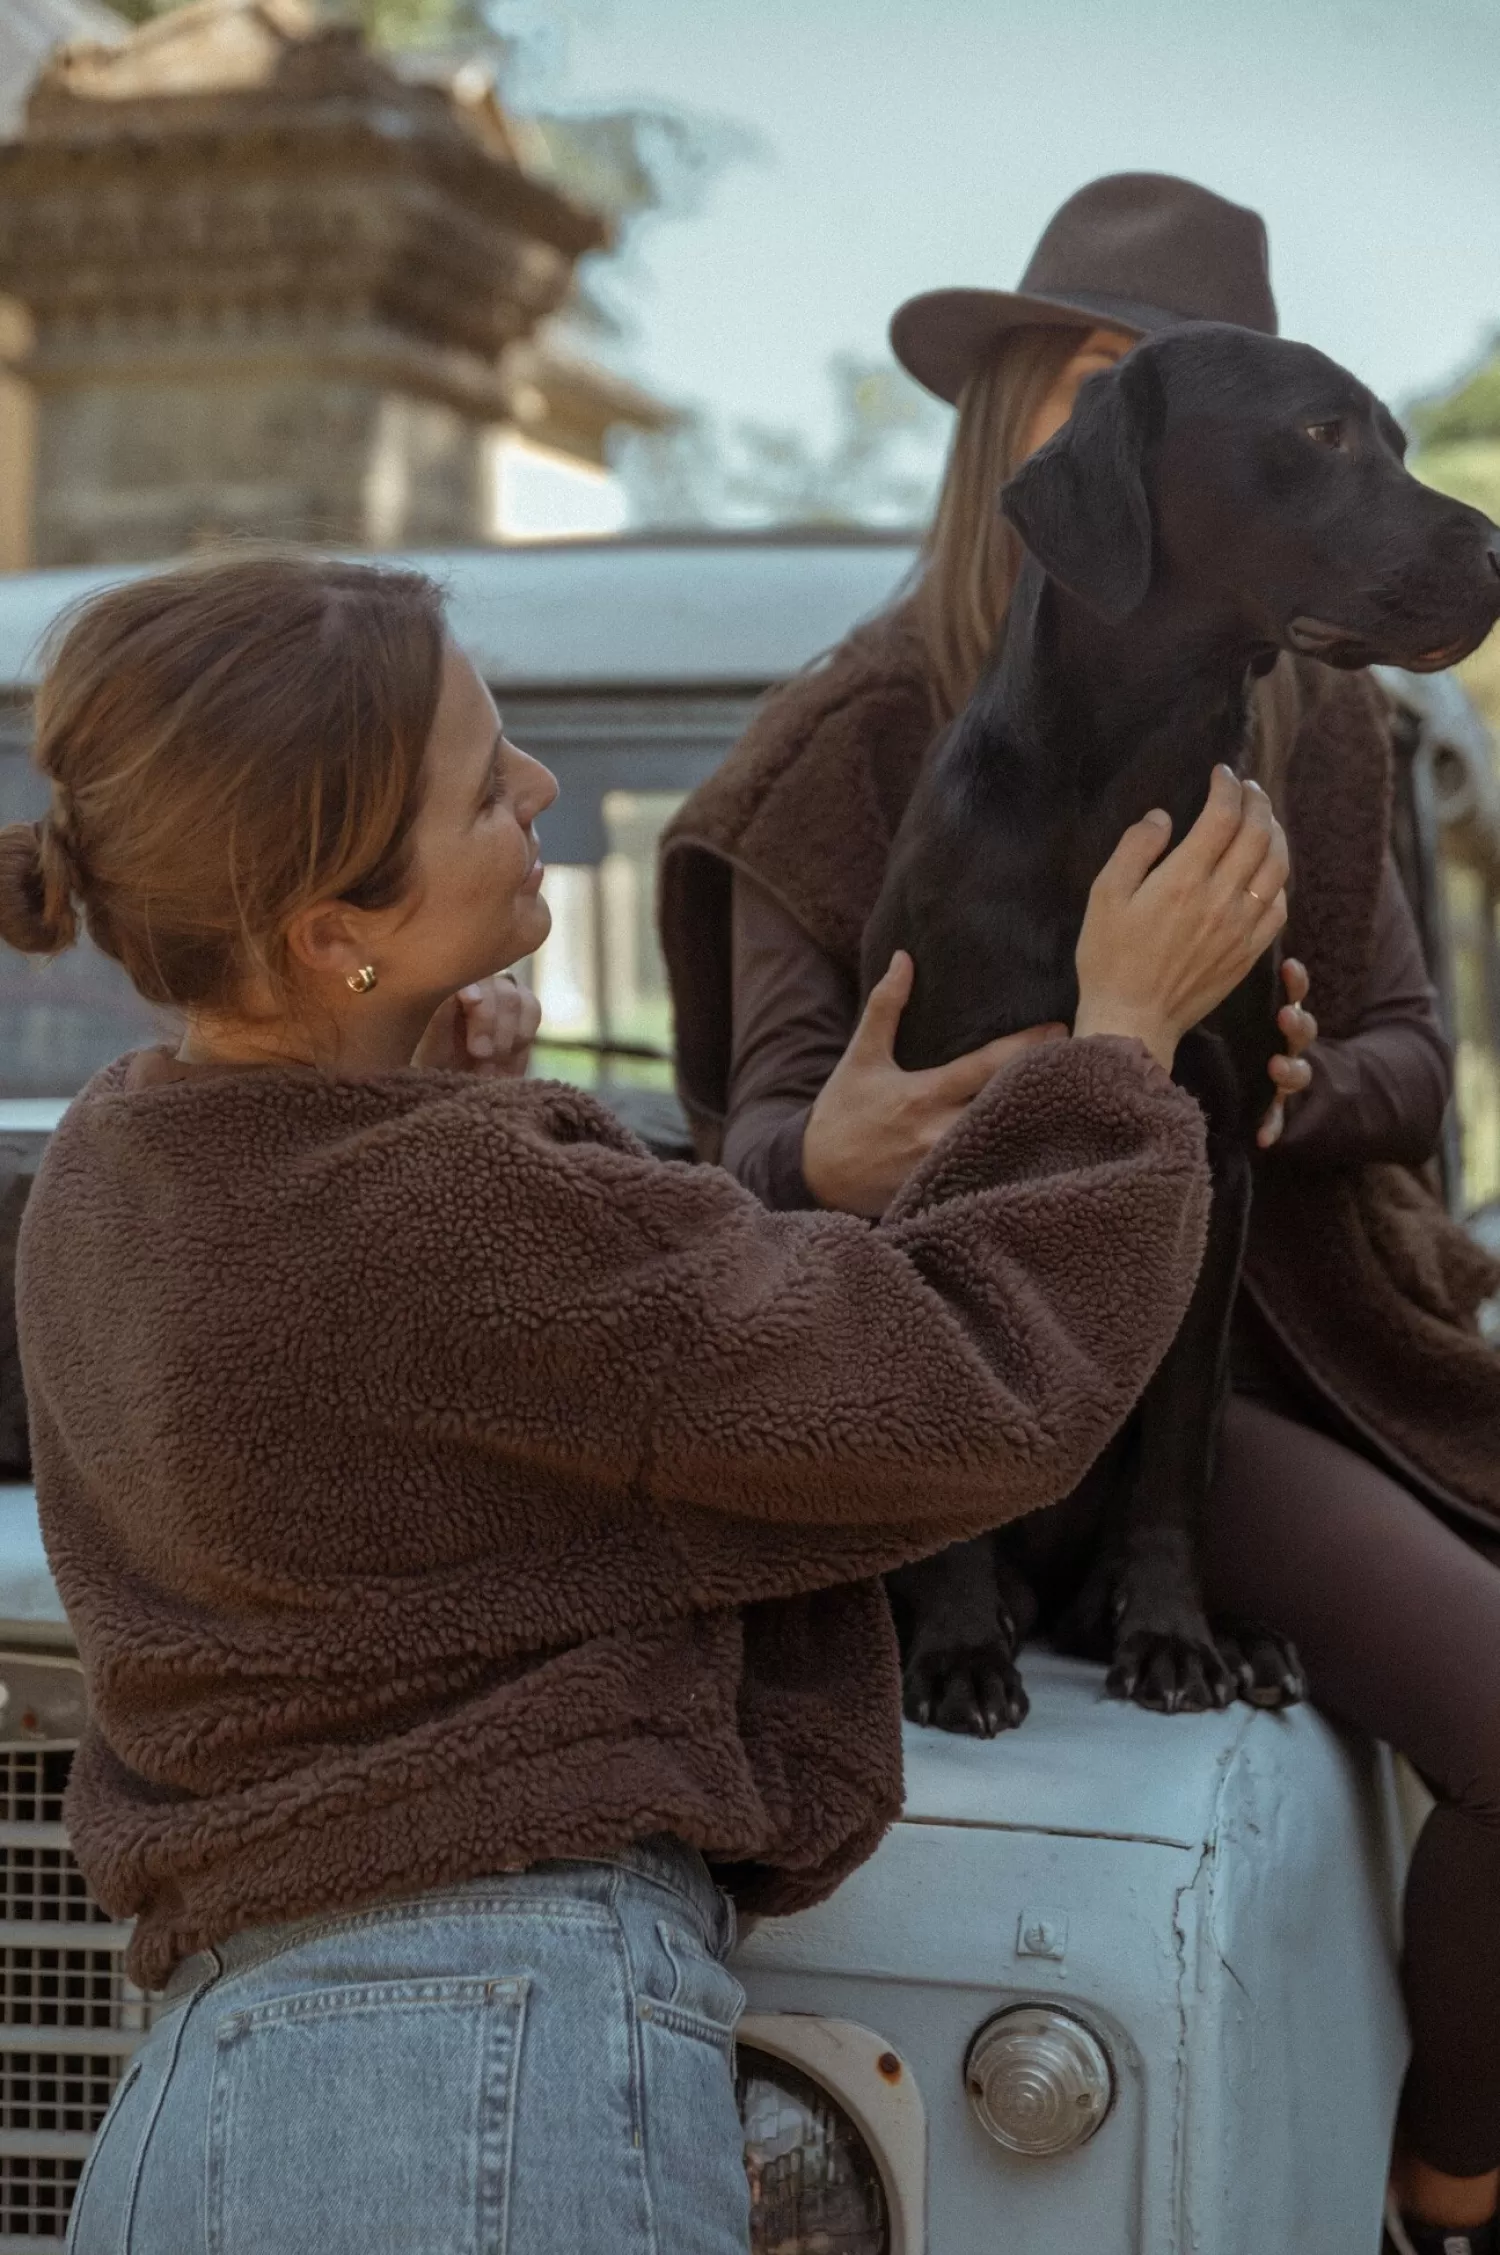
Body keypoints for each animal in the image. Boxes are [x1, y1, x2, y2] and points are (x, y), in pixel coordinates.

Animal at [861, 322, 1497, 1722]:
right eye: (1320, 432)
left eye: (1400, 440)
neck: (1128, 783)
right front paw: (958, 1650)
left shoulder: (1218, 1158)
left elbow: (1177, 1443)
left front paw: (1170, 1637)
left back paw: (1219, 1632)